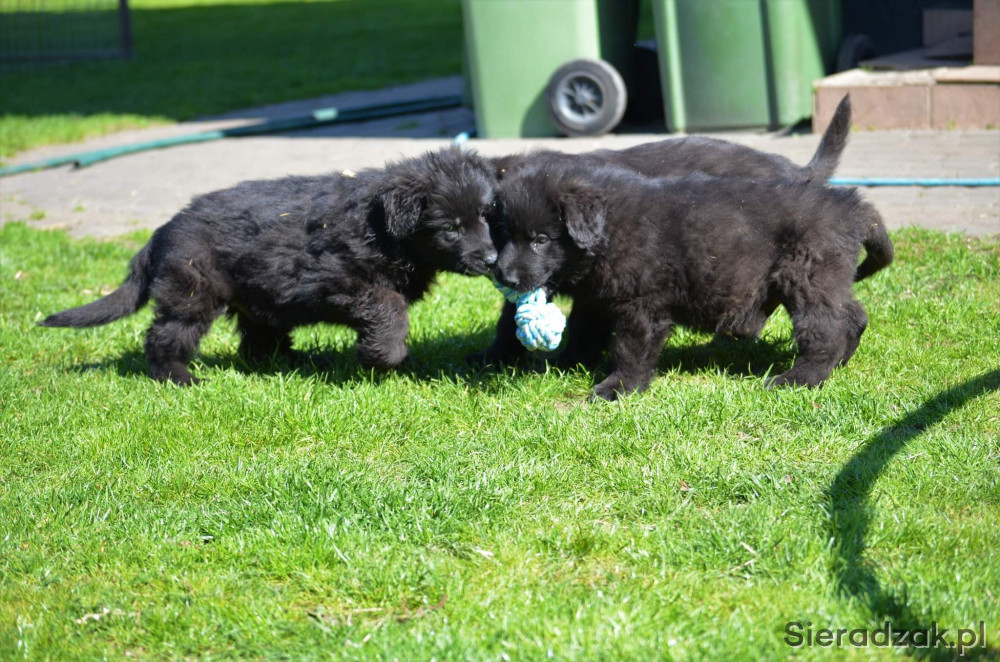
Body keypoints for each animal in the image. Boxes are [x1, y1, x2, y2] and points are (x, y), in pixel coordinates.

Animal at [40, 148, 499, 385]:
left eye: (486, 215)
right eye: (450, 228)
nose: (491, 259)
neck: (383, 226)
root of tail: (161, 231)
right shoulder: (336, 278)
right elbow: (389, 307)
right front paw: (382, 356)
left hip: (258, 296)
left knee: (257, 344)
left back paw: (298, 362)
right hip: (192, 289)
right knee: (164, 336)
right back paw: (178, 376)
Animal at [490, 161, 893, 400]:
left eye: (541, 239)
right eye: (503, 234)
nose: (503, 273)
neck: (609, 229)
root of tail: (851, 205)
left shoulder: (641, 305)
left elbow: (630, 348)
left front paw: (618, 387)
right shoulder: (595, 299)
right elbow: (583, 332)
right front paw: (566, 363)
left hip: (807, 275)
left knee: (826, 330)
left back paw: (800, 378)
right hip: (827, 278)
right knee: (853, 315)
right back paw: (841, 362)